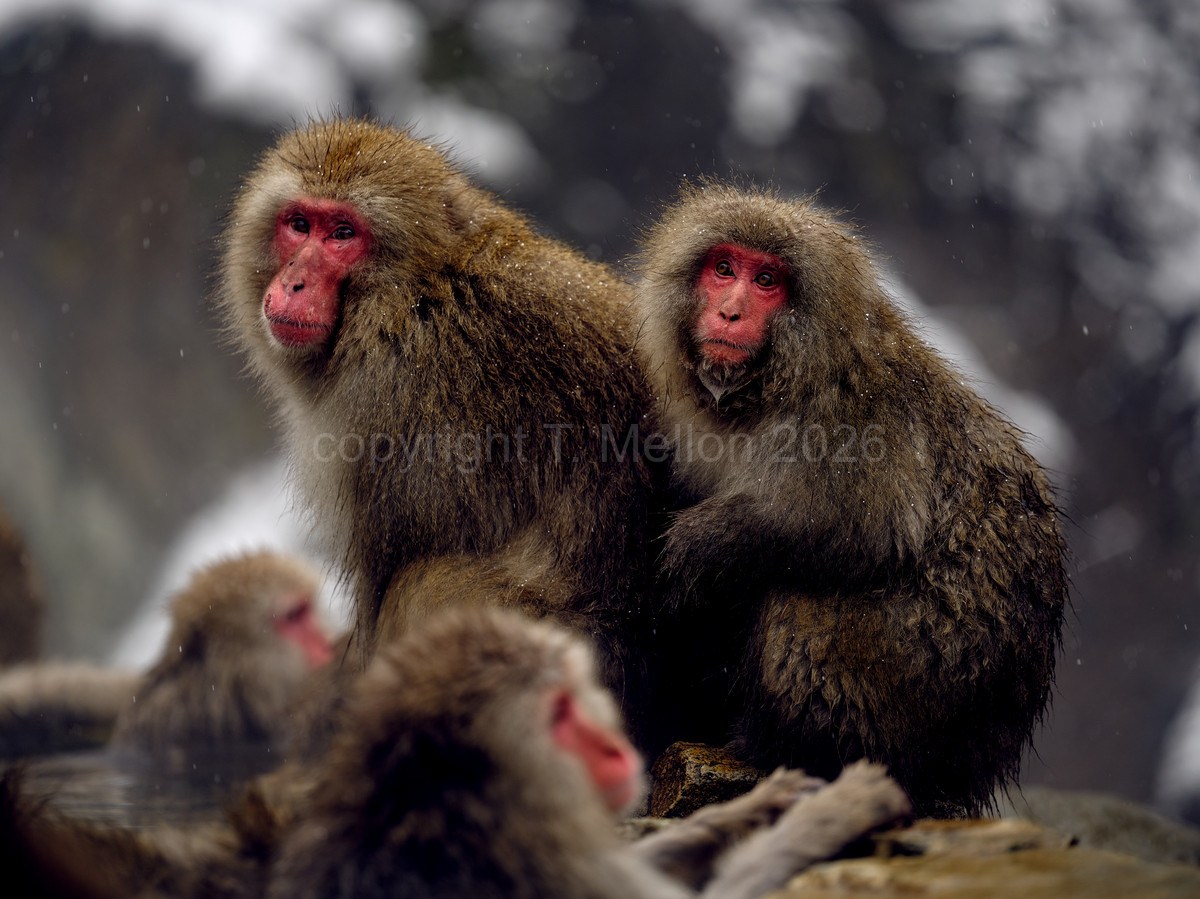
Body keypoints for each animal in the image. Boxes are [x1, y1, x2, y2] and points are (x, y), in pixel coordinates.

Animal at [214, 119, 658, 730]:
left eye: (342, 234)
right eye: (299, 224)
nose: (295, 282)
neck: (420, 286)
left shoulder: (389, 398)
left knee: (423, 587)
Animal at [266, 605, 911, 899]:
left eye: (574, 695)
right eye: (556, 715)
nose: (615, 746)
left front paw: (750, 808)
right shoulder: (540, 865)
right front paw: (832, 814)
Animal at [632, 181, 1068, 818]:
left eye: (767, 281)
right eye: (724, 269)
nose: (730, 311)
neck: (773, 387)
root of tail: (976, 766)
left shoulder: (849, 420)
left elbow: (863, 527)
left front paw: (703, 542)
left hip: (911, 681)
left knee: (799, 607)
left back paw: (791, 749)